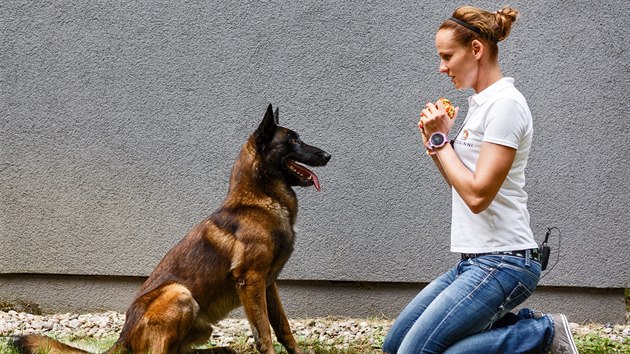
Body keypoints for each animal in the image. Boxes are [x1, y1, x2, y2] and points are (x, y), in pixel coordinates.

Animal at [13, 103, 330, 354]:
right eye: (293, 139)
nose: (327, 155)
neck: (259, 200)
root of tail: (123, 338)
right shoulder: (251, 281)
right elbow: (264, 333)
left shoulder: (268, 284)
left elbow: (283, 328)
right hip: (180, 294)